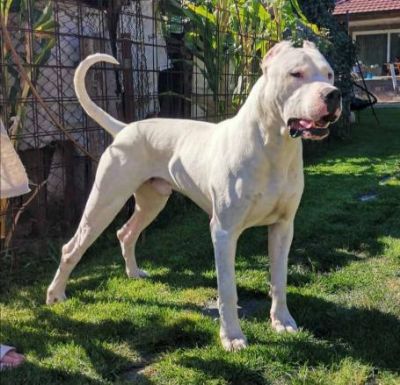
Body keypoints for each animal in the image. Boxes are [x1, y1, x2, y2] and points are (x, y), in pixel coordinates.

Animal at [46, 41, 340, 352]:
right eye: (295, 73)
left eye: (329, 74)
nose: (333, 94)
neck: (274, 145)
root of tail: (126, 128)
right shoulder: (224, 232)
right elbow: (227, 290)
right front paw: (232, 336)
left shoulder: (283, 227)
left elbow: (280, 280)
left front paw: (281, 321)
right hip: (105, 201)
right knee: (72, 247)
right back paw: (55, 294)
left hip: (152, 201)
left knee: (126, 233)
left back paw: (134, 273)